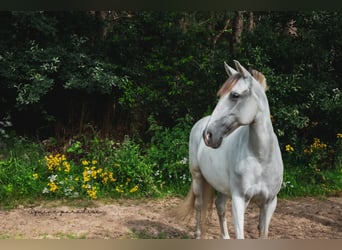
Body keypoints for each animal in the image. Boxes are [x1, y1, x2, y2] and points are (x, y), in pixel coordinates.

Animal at [176, 60, 284, 238]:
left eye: (235, 95)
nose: (208, 135)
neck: (261, 158)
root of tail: (200, 123)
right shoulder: (239, 200)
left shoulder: (269, 203)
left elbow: (263, 233)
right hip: (197, 177)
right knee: (199, 204)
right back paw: (198, 234)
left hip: (222, 186)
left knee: (219, 206)